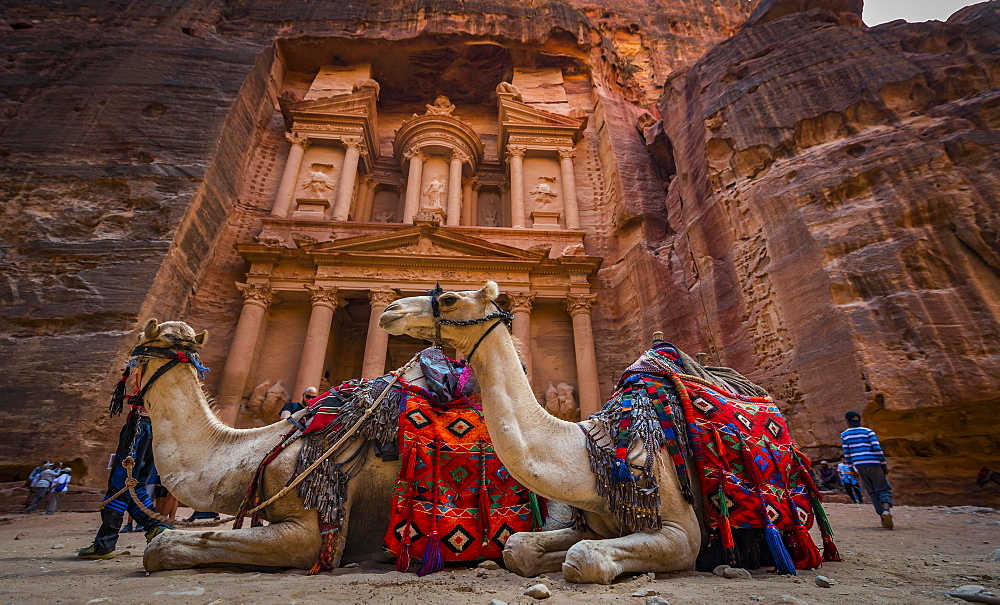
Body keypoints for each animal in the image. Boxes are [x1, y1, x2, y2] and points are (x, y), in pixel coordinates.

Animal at [378, 280, 700, 584]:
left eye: (449, 299)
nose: (391, 310)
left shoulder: (682, 532)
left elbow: (582, 556)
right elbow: (518, 547)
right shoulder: (591, 525)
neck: (596, 454)